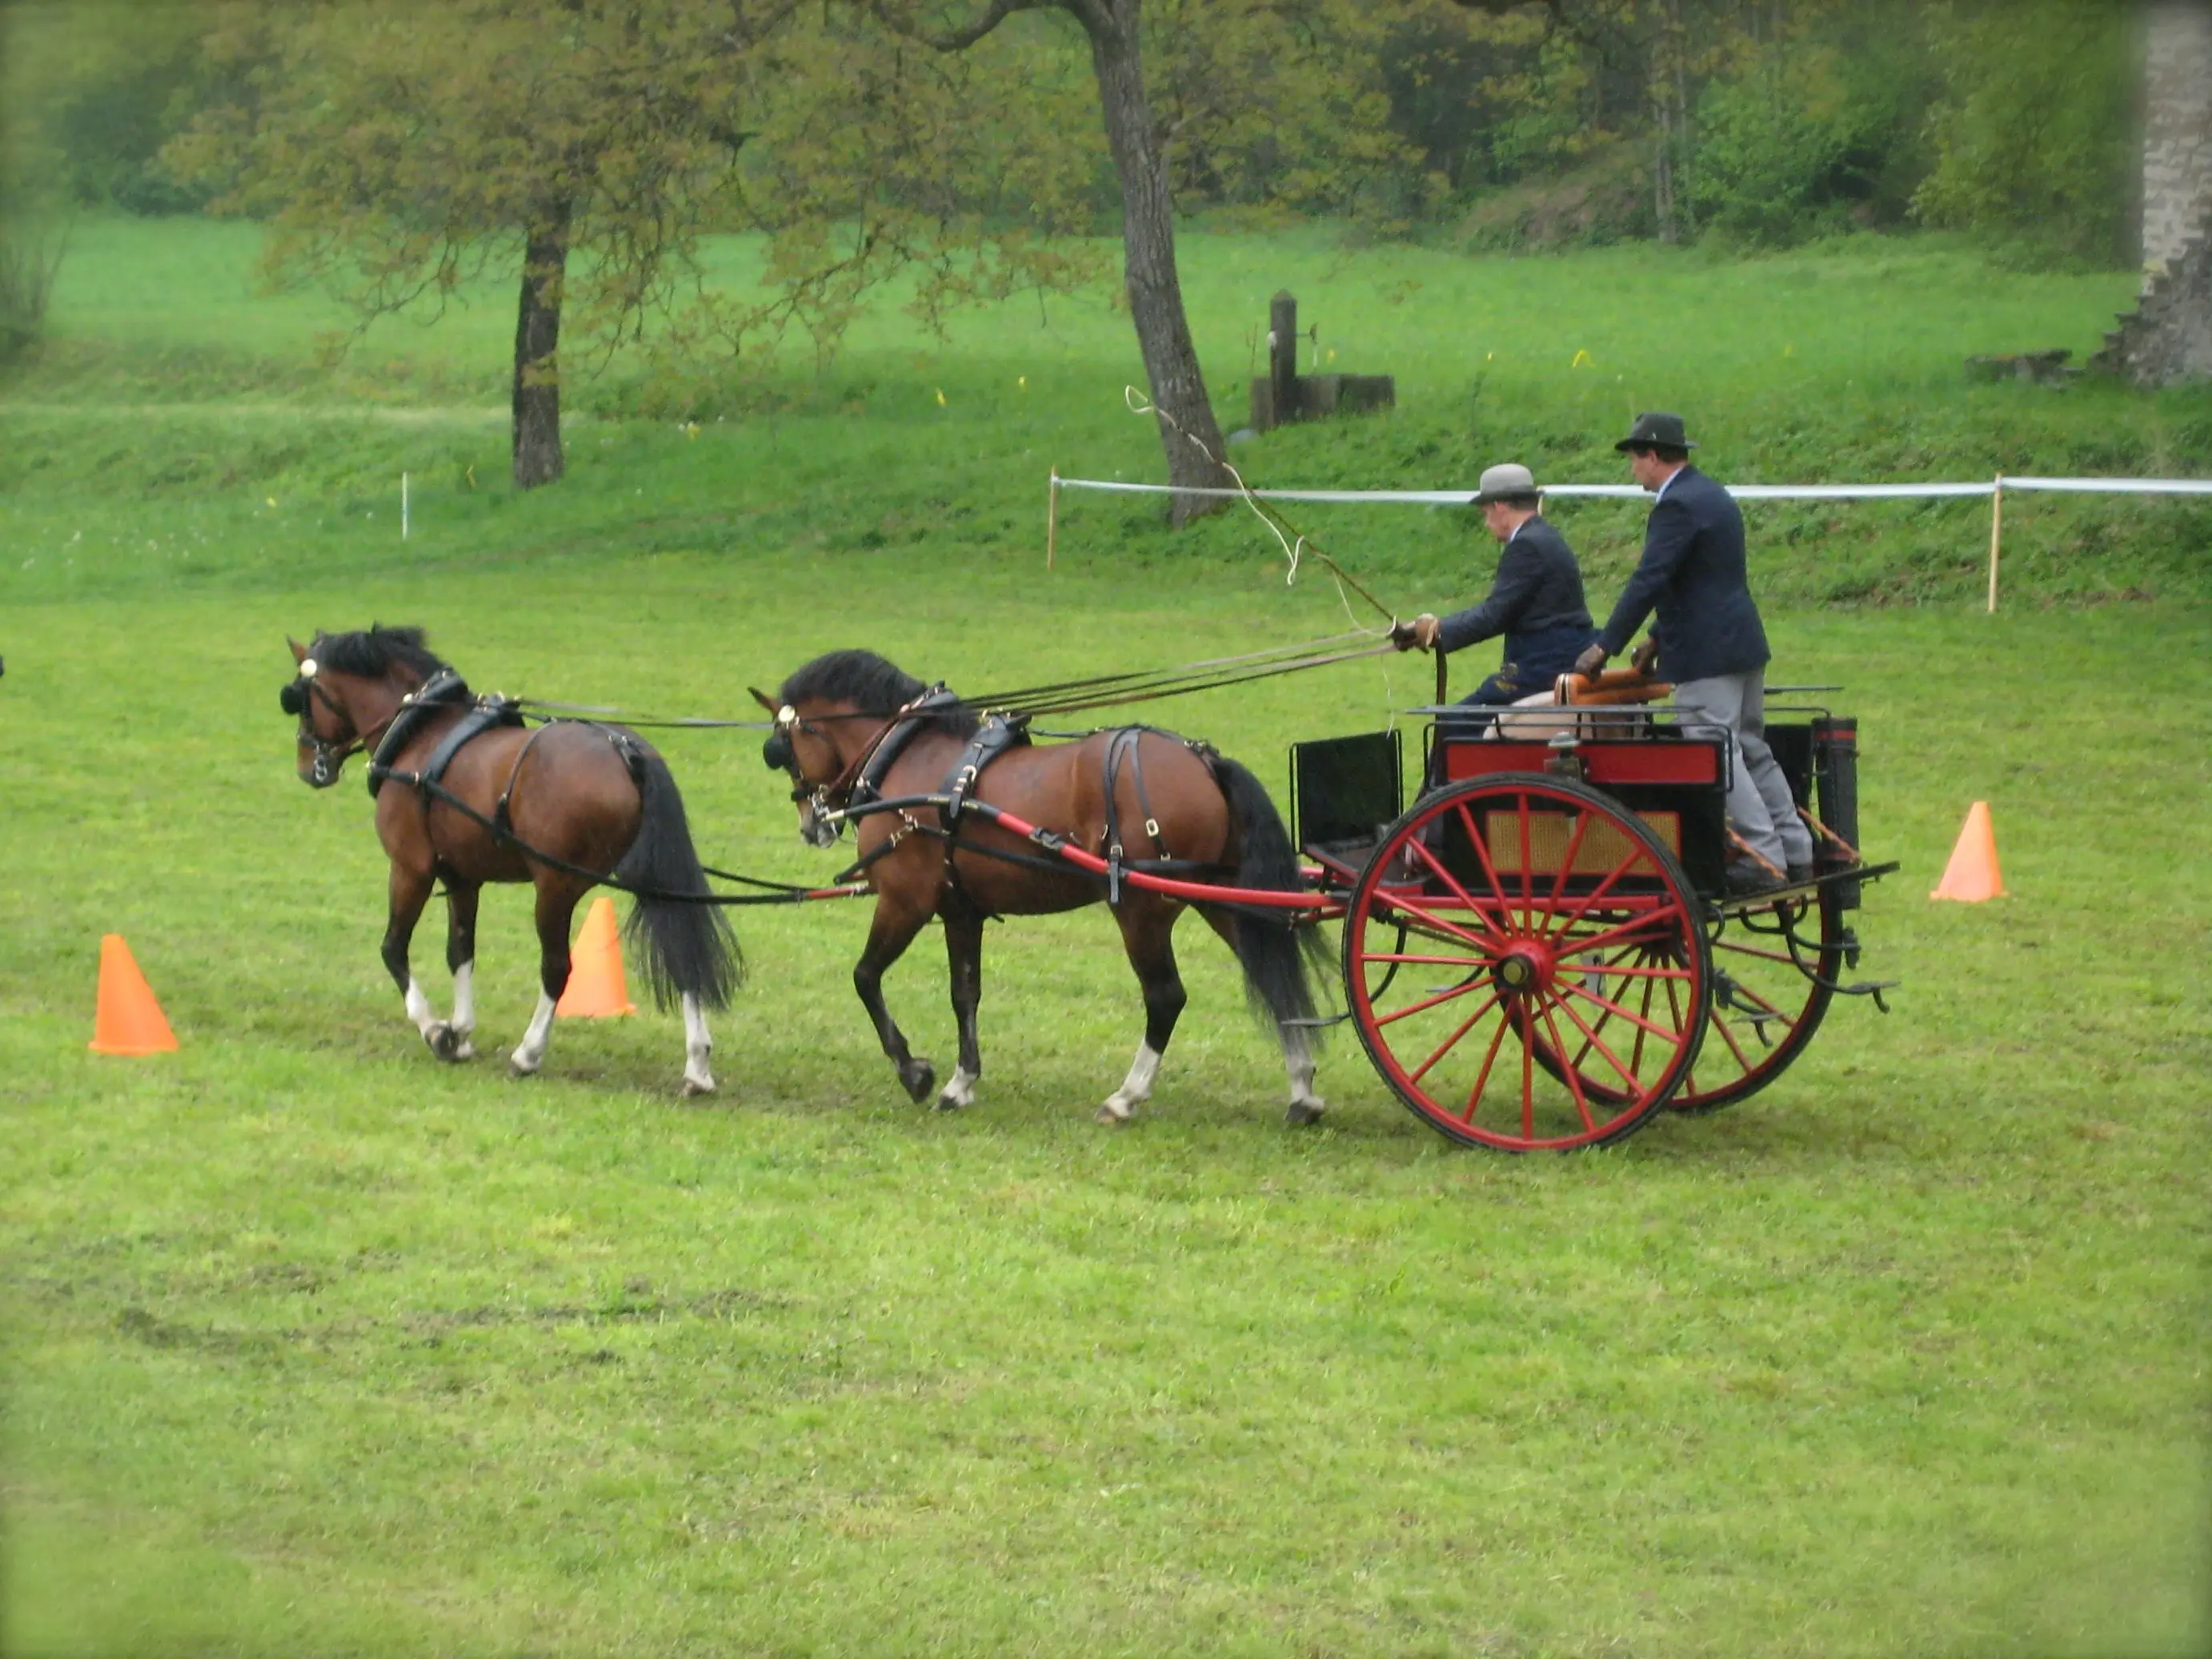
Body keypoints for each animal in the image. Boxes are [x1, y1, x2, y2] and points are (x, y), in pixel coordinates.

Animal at [280, 626, 739, 1093]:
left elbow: (393, 949)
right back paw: (697, 1066)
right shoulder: (462, 877)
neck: (420, 734)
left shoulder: (411, 869)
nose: (307, 766)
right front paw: (462, 1033)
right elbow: (460, 950)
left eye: (298, 698)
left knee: (557, 967)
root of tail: (628, 752)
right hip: (651, 880)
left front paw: (436, 1032)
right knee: (683, 955)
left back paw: (528, 1053)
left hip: (555, 887)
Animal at [754, 649, 1328, 1126]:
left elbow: (865, 977)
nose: (811, 825)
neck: (906, 757)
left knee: (1166, 996)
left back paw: (1126, 1097)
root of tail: (1203, 760)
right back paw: (1302, 1090)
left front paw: (914, 1072)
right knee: (1271, 974)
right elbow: (964, 993)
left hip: (1141, 909)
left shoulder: (906, 901)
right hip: (1223, 897)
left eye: (781, 749)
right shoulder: (960, 909)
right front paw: (961, 1083)